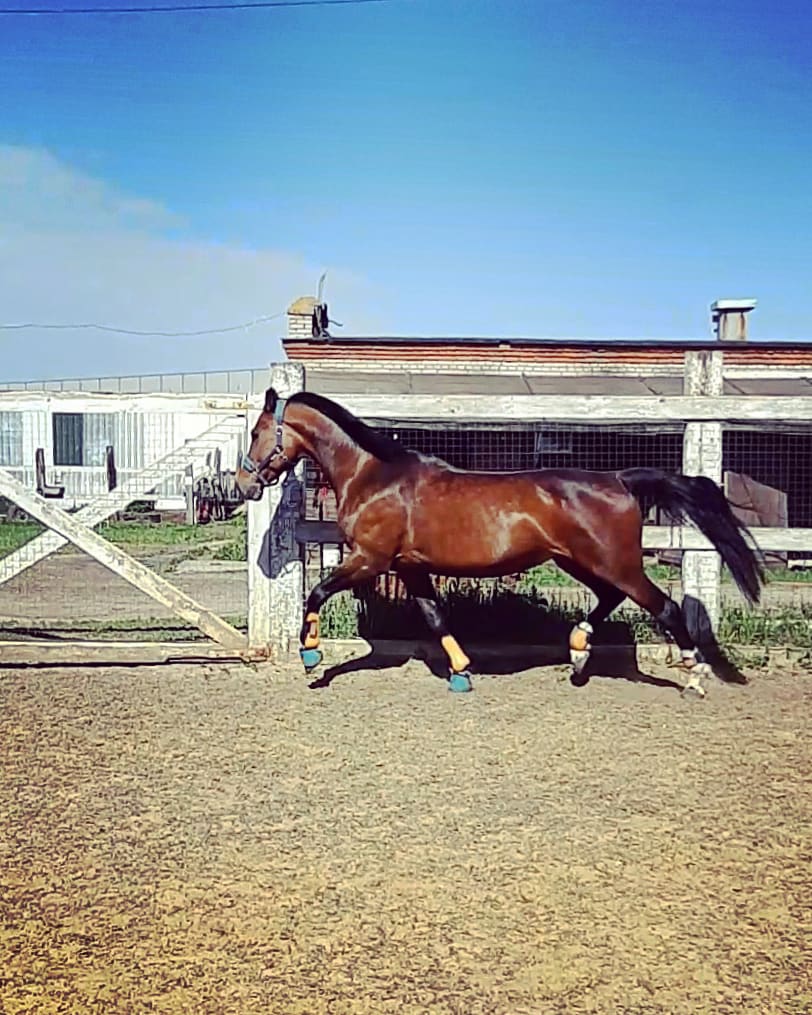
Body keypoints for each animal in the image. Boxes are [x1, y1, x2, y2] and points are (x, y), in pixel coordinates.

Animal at [236, 387, 763, 696]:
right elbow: (435, 617)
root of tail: (619, 479)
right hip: (580, 561)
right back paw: (577, 653)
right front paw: (461, 672)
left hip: (616, 564)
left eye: (258, 431)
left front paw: (311, 657)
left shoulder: (371, 559)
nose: (244, 485)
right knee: (610, 599)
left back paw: (694, 676)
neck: (374, 476)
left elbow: (317, 591)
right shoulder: (410, 566)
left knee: (665, 608)